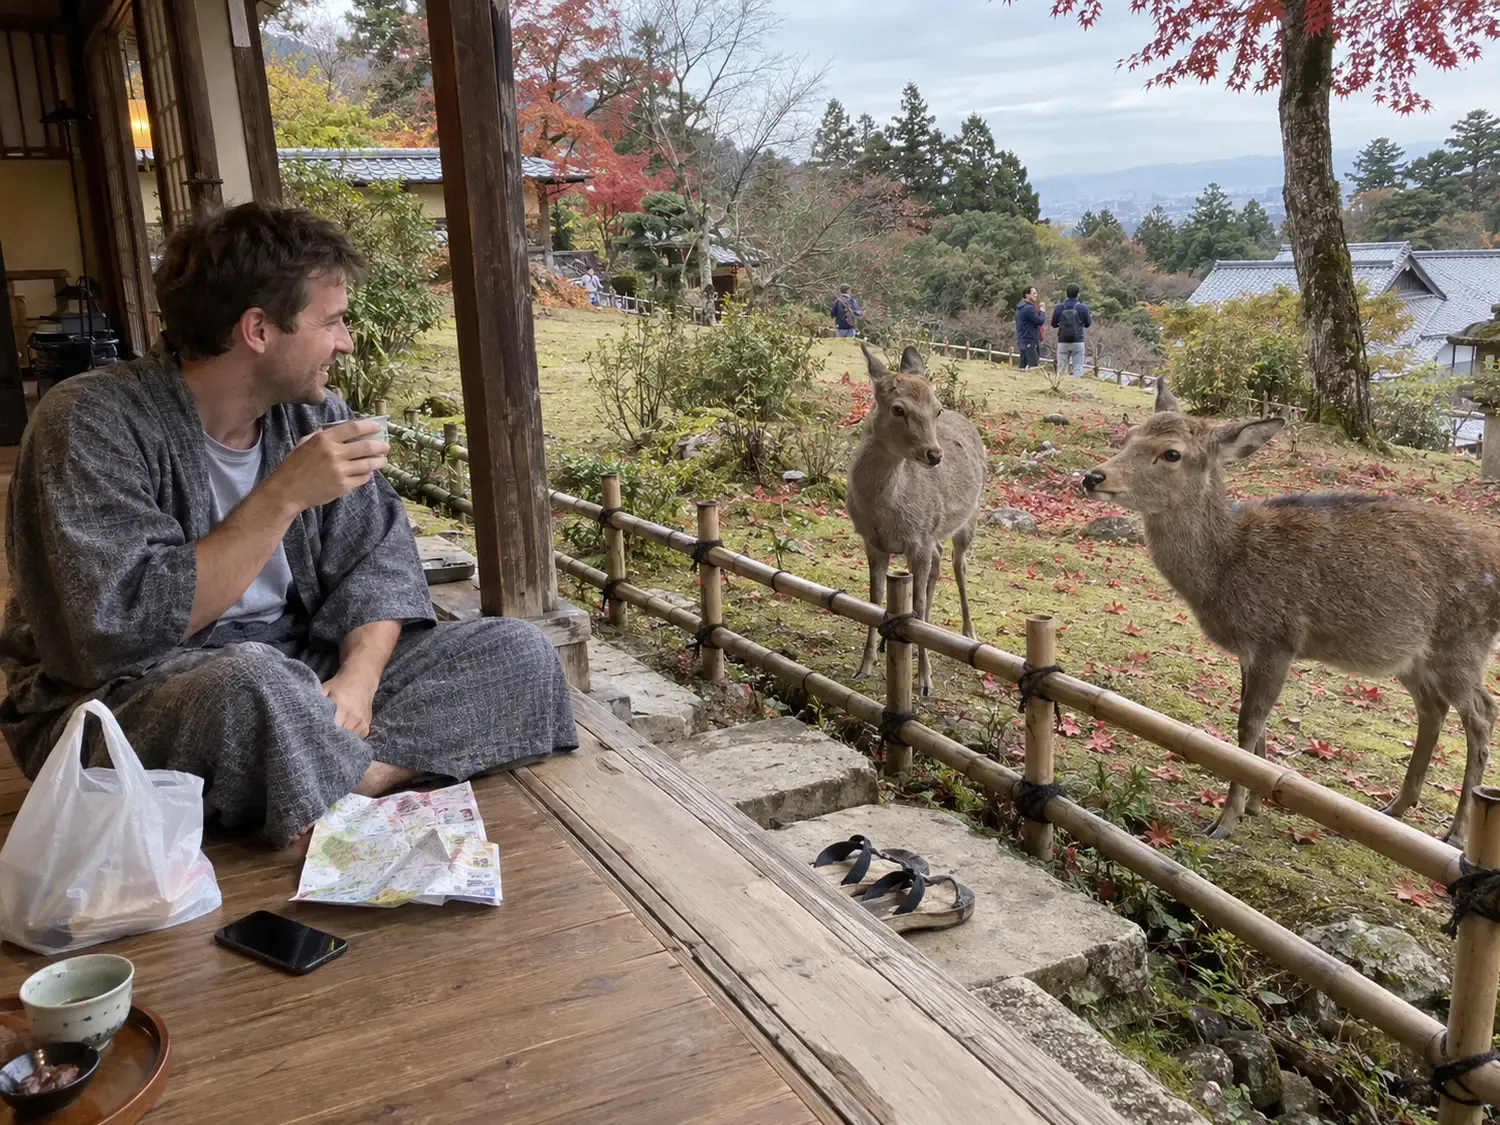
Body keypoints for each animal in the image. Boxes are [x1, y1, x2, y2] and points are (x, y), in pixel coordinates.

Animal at [847, 342, 987, 697]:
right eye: (898, 409)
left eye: (936, 409)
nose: (934, 455)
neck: (886, 512)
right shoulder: (873, 542)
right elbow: (875, 598)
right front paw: (865, 665)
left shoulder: (919, 539)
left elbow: (917, 604)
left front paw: (924, 680)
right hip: (935, 534)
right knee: (938, 563)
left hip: (970, 517)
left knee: (959, 565)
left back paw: (968, 632)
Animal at [1081, 377, 1500, 847]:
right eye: (1132, 435)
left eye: (1171, 453)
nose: (1092, 476)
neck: (1225, 568)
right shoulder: (1250, 649)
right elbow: (1257, 725)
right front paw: (1254, 805)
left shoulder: (1276, 638)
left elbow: (1248, 724)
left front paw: (1225, 821)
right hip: (1410, 655)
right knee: (1433, 708)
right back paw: (1395, 807)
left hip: (1463, 643)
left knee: (1482, 715)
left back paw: (1456, 834)